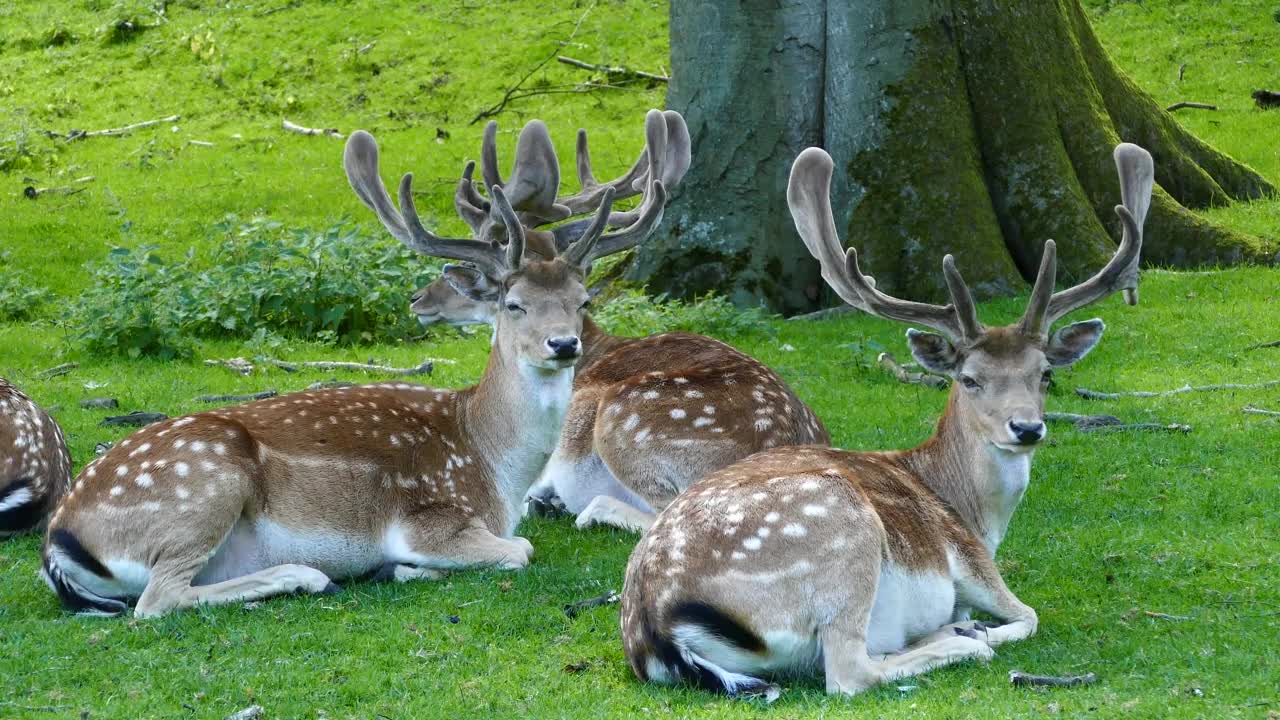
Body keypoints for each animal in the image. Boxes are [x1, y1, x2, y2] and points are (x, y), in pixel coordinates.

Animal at [36, 114, 665, 614]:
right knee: (157, 599)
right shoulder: (430, 518)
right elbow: (521, 550)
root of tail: (57, 541)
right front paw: (402, 566)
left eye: (582, 302)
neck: (495, 469)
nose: (563, 344)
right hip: (203, 487)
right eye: (513, 304)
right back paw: (307, 576)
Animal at [622, 142, 1162, 696]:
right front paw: (976, 628)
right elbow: (1029, 615)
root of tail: (656, 627)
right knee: (848, 673)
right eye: (969, 378)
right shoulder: (970, 560)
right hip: (840, 529)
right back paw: (962, 640)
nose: (1026, 428)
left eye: (1046, 374)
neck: (975, 512)